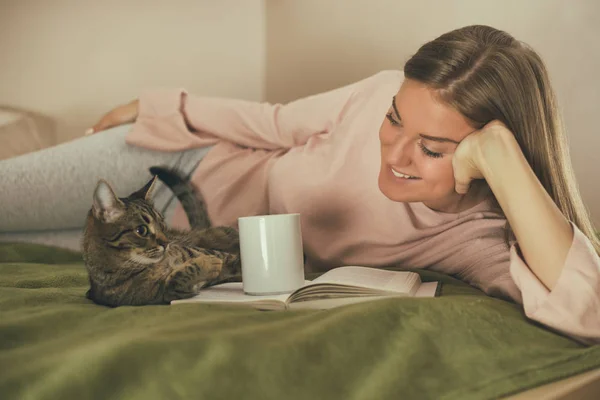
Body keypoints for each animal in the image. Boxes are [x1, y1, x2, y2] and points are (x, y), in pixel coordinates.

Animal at [82, 166, 241, 306]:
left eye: (162, 225)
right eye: (141, 230)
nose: (167, 243)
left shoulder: (200, 251)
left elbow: (233, 259)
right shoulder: (163, 293)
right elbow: (179, 277)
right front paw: (208, 263)